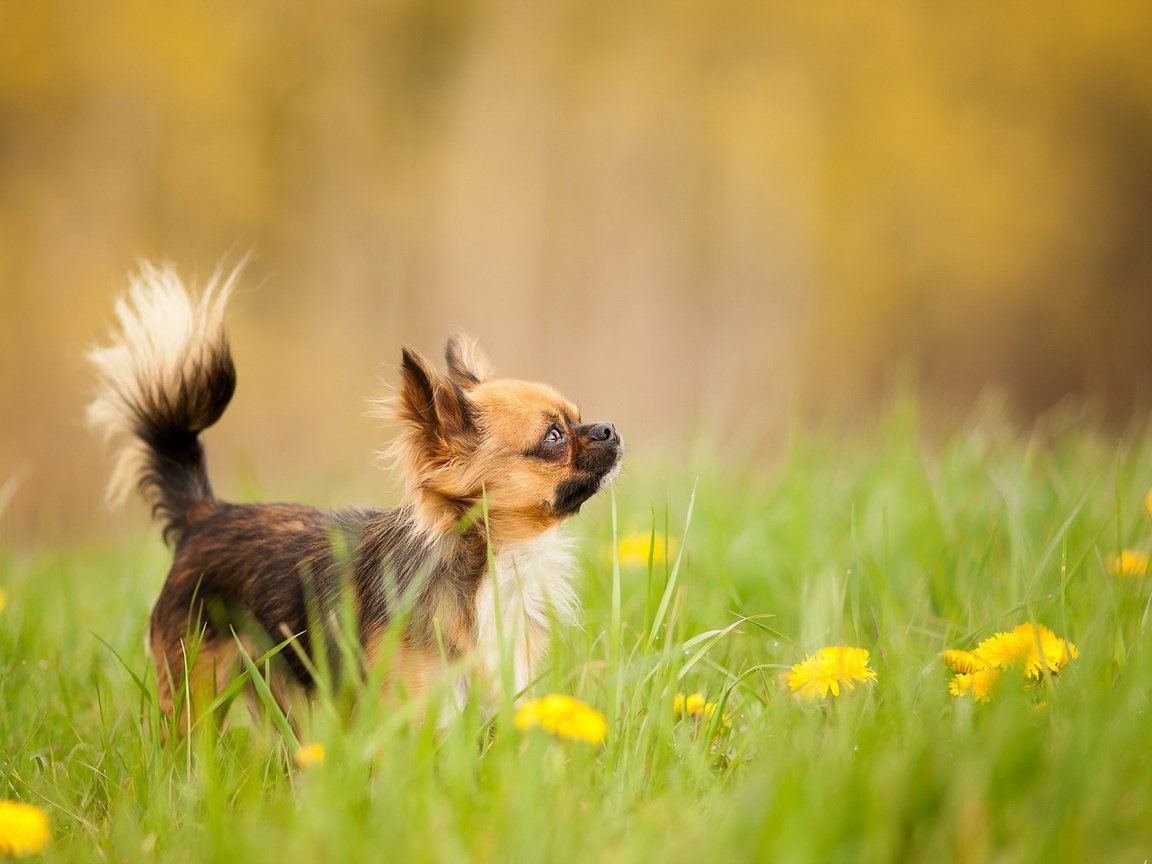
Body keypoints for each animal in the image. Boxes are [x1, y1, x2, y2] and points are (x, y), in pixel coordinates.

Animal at [88, 263, 622, 723]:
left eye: (579, 417)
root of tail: (208, 515)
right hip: (196, 692)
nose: (611, 428)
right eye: (554, 436)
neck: (494, 563)